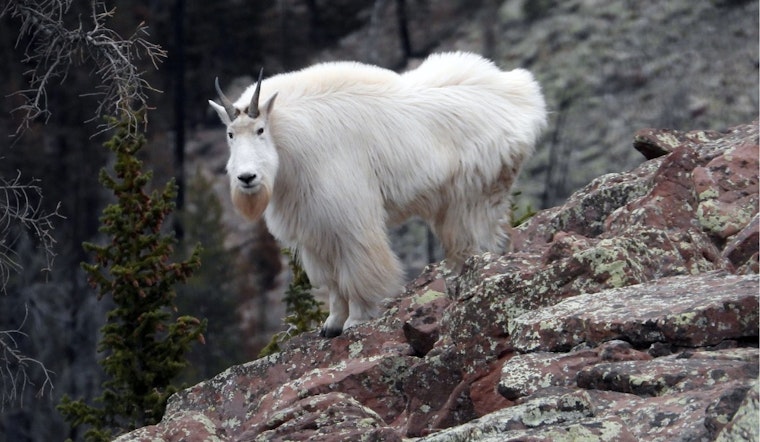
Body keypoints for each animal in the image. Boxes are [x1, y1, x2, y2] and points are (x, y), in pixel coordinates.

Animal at [209, 52, 546, 337]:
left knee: (479, 237)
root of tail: (523, 96)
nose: (247, 178)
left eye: (260, 130)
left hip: (473, 194)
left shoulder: (351, 218)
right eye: (230, 134)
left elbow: (357, 268)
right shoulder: (314, 227)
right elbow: (332, 281)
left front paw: (355, 320)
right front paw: (331, 324)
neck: (289, 140)